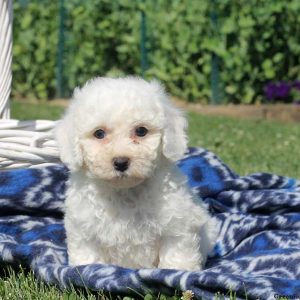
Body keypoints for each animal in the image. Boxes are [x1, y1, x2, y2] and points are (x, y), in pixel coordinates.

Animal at [55, 76, 217, 270]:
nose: (121, 162)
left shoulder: (177, 225)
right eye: (99, 133)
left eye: (141, 131)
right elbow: (88, 258)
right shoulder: (84, 231)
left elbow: (177, 257)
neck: (125, 191)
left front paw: (179, 271)